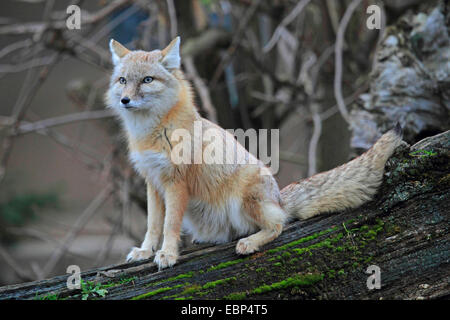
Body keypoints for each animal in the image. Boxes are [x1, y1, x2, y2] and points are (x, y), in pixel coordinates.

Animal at [105, 36, 404, 268]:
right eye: (123, 80)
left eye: (147, 80)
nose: (125, 100)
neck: (152, 134)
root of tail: (279, 198)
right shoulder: (153, 182)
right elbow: (153, 225)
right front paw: (145, 251)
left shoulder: (175, 182)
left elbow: (170, 225)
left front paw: (167, 254)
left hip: (244, 197)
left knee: (279, 224)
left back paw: (249, 242)